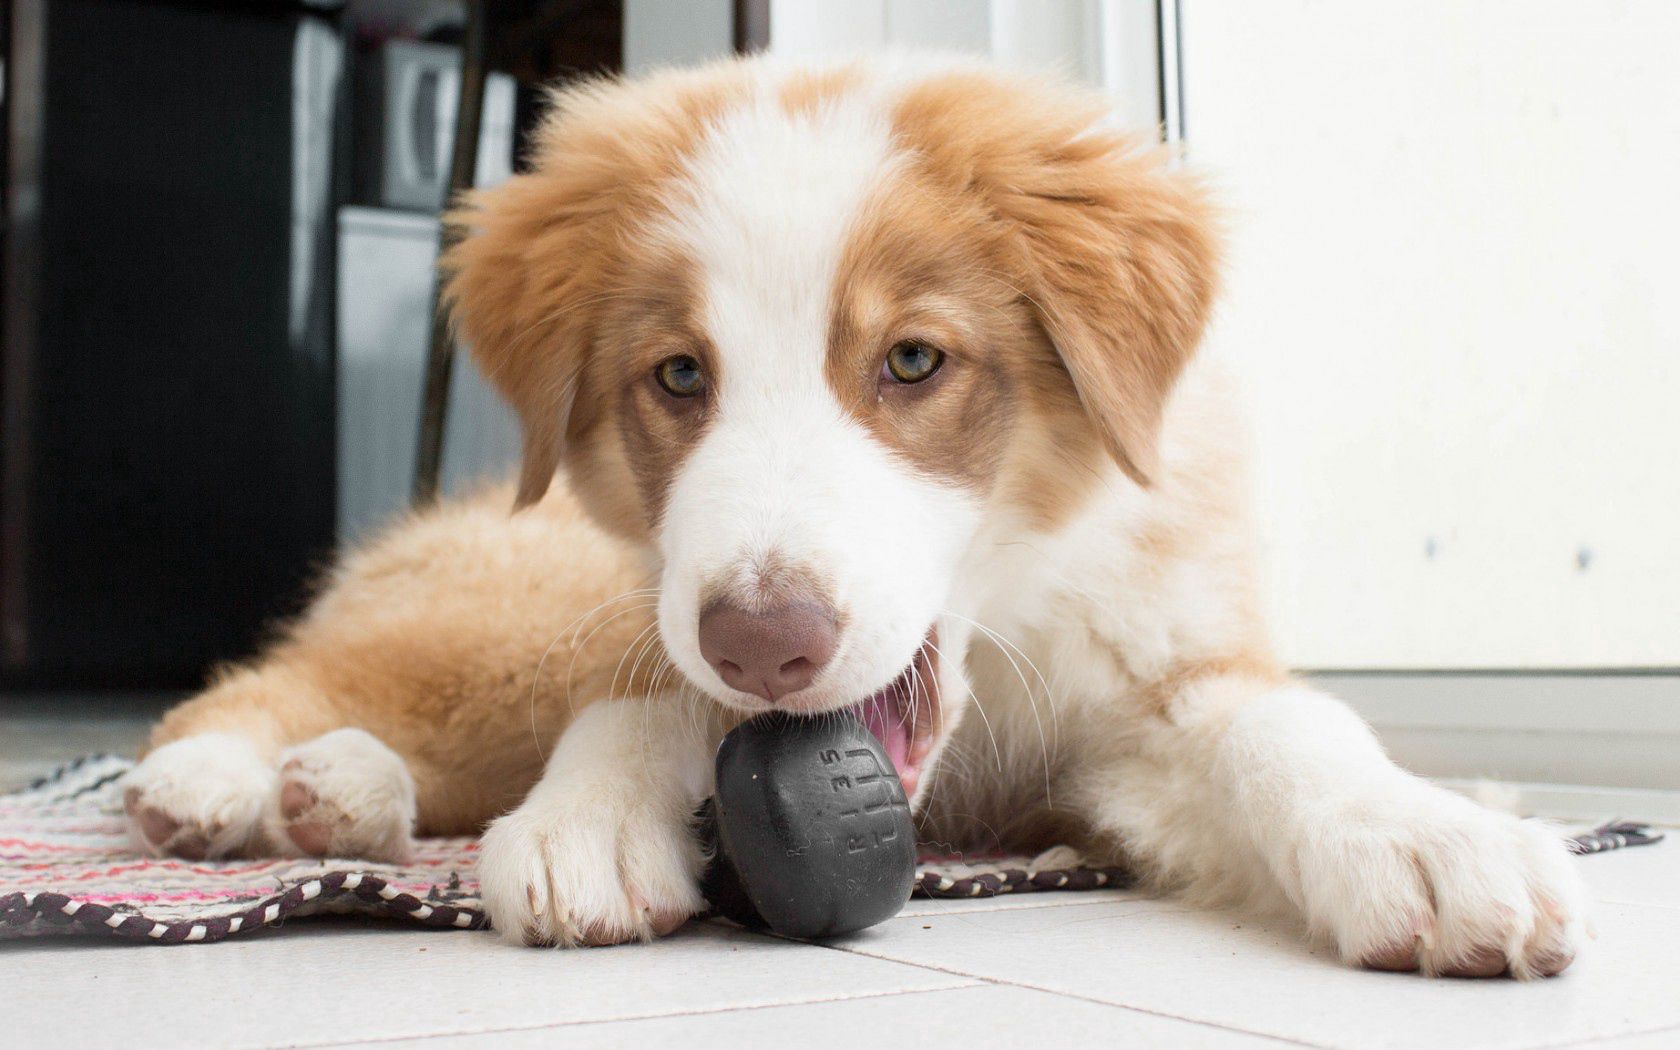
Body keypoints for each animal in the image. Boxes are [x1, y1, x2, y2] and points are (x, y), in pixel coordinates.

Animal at [127, 57, 1585, 974]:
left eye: (914, 361)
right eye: (679, 376)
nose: (765, 642)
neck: (999, 649)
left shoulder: (1145, 681)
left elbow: (1287, 725)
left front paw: (1423, 834)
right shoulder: (649, 605)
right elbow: (640, 695)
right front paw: (590, 818)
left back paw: (337, 800)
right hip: (513, 621)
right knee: (283, 677)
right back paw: (210, 787)